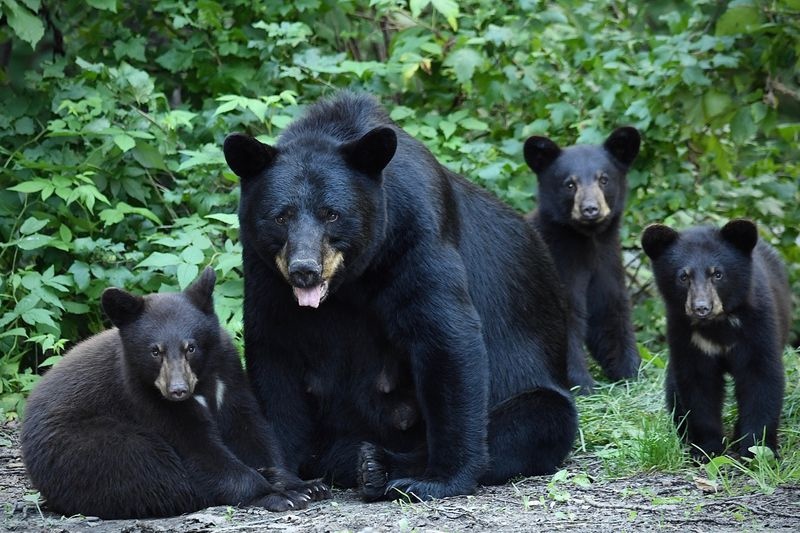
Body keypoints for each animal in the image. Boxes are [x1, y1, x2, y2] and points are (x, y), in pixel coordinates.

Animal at [20, 267, 329, 519]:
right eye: (154, 351)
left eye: (190, 347)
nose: (177, 391)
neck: (201, 384)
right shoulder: (143, 397)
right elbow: (199, 451)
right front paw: (280, 494)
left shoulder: (228, 375)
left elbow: (250, 430)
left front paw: (303, 483)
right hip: (85, 447)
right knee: (149, 471)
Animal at [222, 91, 577, 502]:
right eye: (281, 216)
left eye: (332, 214)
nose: (304, 269)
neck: (351, 279)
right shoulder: (264, 268)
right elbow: (275, 353)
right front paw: (289, 483)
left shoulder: (415, 232)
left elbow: (444, 336)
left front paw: (441, 478)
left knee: (537, 420)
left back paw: (377, 466)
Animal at [523, 128, 642, 392]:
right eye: (570, 184)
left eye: (604, 179)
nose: (590, 209)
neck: (588, 242)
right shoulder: (558, 265)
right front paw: (583, 385)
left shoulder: (607, 263)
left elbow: (610, 313)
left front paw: (632, 372)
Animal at [641, 219, 791, 459]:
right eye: (684, 276)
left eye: (717, 274)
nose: (701, 308)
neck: (717, 324)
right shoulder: (685, 334)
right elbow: (698, 386)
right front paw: (707, 450)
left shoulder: (757, 326)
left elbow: (761, 379)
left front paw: (757, 450)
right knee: (674, 390)